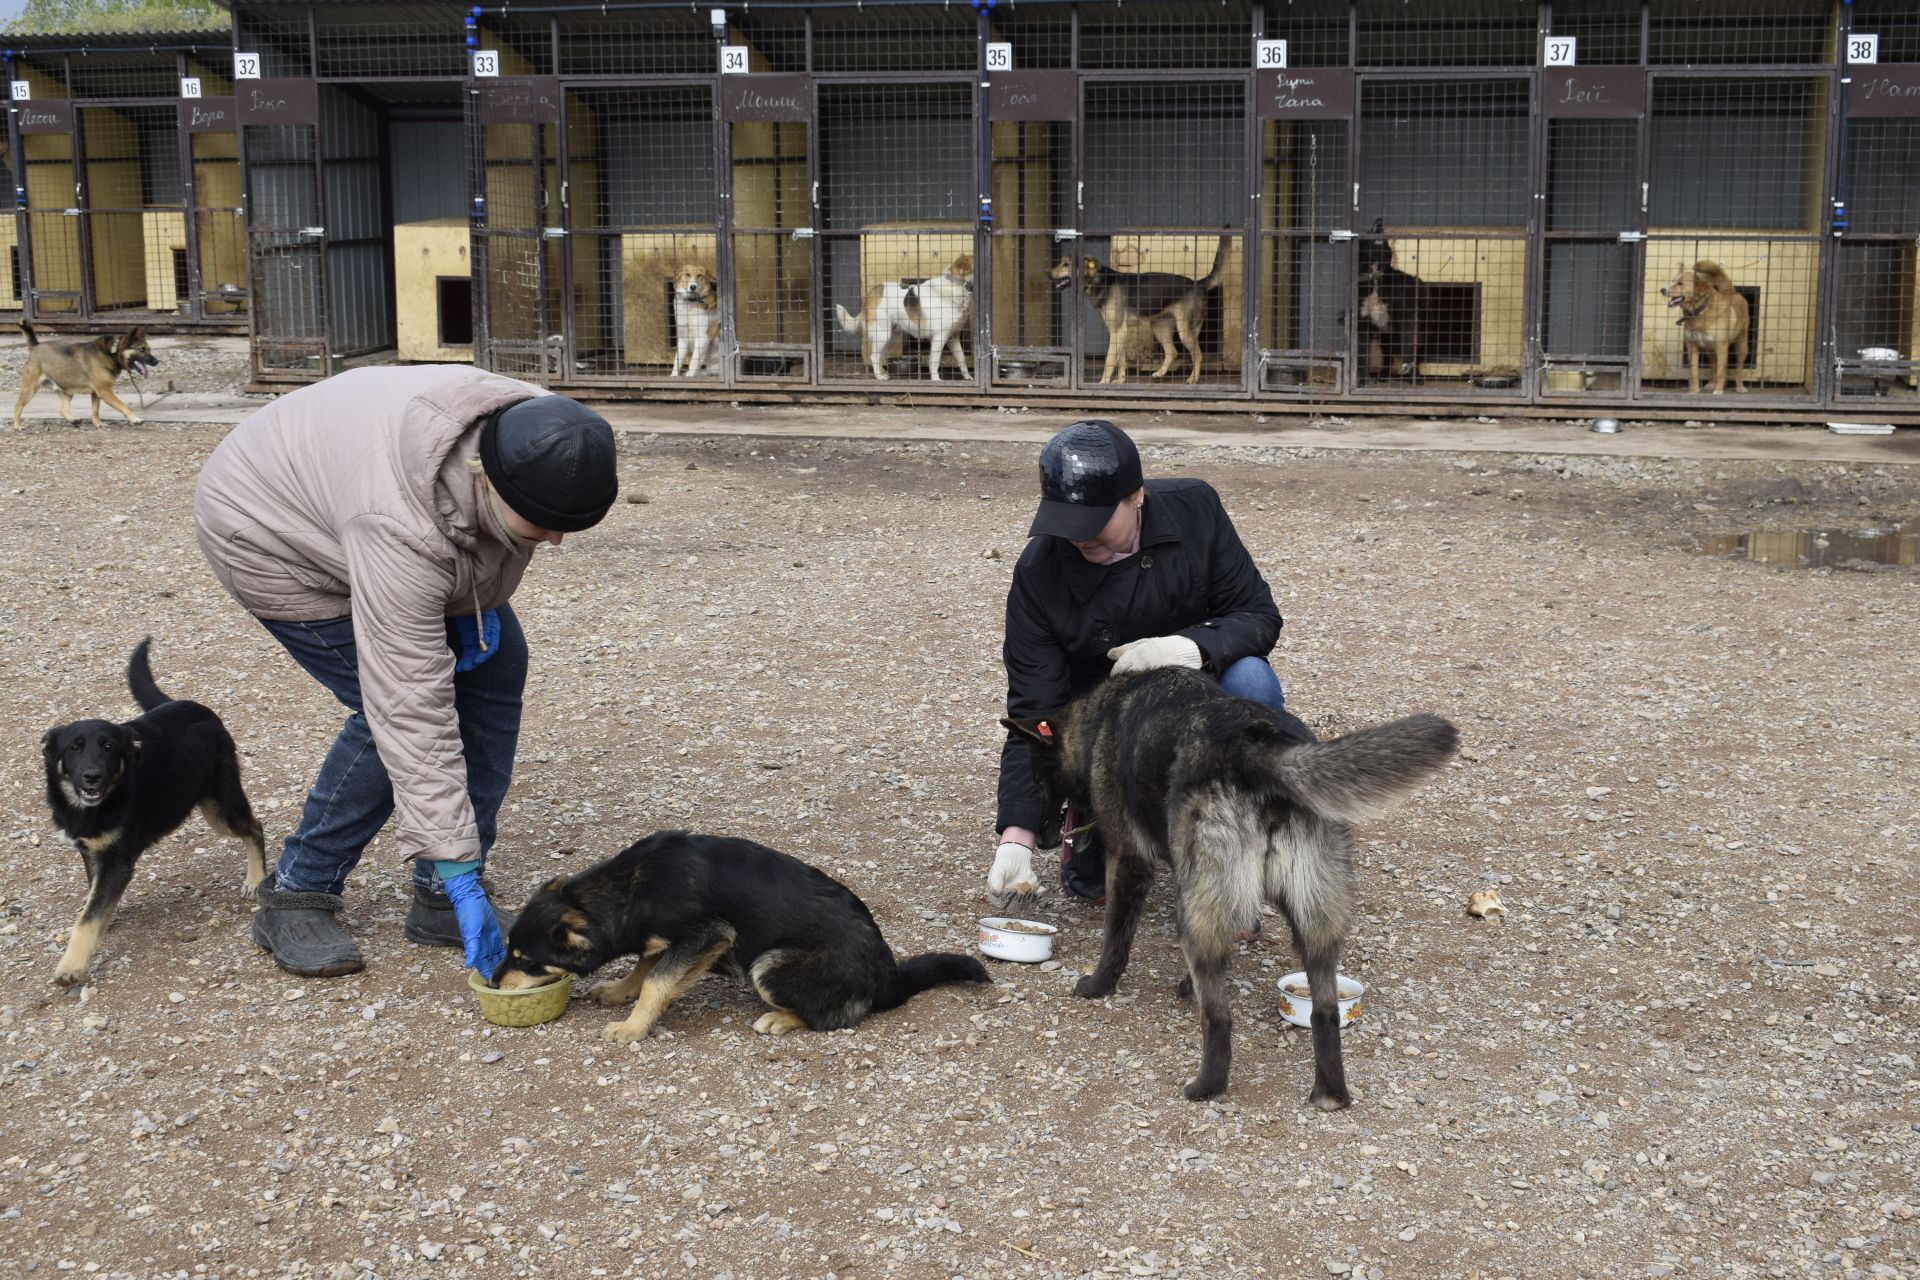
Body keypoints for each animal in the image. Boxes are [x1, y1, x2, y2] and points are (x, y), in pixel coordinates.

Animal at [43, 637, 270, 990]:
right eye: (74, 748)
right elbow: (93, 898)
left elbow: (88, 917)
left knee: (255, 827)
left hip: (220, 809)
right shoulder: (92, 850)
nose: (92, 777)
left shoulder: (118, 861)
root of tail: (193, 706)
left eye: (108, 747)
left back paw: (256, 879)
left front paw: (71, 965)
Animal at [495, 832, 990, 1051]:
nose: (495, 984)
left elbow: (657, 980)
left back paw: (781, 1020)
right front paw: (620, 991)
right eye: (508, 951)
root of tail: (887, 974)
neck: (627, 888)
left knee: (836, 1017)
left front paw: (633, 1027)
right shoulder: (668, 938)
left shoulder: (707, 934)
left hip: (769, 965)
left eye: (526, 959)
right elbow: (646, 964)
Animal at [837, 253, 975, 379]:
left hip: (890, 336)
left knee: (881, 355)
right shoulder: (939, 337)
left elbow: (962, 359)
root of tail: (871, 293)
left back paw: (883, 373)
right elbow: (934, 361)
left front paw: (968, 377)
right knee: (874, 356)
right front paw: (936, 380)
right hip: (882, 334)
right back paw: (879, 376)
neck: (957, 285)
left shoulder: (953, 337)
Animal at [1666, 260, 1758, 395]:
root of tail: (1730, 291)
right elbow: (1694, 372)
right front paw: (1694, 390)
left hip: (1742, 346)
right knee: (1713, 365)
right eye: (1673, 281)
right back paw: (1711, 383)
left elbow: (1721, 371)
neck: (1700, 313)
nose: (1662, 289)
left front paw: (1718, 390)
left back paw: (1739, 386)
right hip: (1709, 349)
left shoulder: (1721, 346)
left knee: (1738, 367)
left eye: (1680, 283)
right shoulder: (1692, 346)